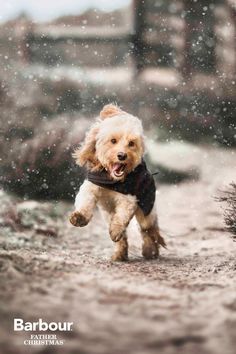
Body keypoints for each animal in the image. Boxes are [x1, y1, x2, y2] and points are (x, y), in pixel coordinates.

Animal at [70, 103, 166, 262]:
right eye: (113, 141)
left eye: (131, 143)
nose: (122, 155)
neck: (112, 181)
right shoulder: (90, 187)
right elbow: (85, 201)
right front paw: (79, 217)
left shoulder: (129, 199)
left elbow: (121, 217)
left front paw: (115, 230)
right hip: (107, 213)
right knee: (125, 236)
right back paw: (120, 254)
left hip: (147, 209)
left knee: (148, 230)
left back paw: (150, 251)